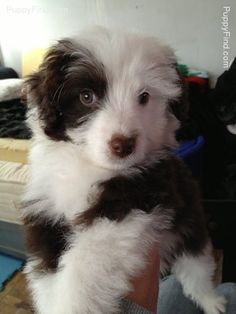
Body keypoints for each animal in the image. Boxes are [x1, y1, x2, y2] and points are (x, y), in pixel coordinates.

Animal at [22, 27, 227, 314]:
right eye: (86, 96)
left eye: (144, 97)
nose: (124, 145)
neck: (90, 166)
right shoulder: (46, 211)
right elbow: (46, 271)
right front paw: (53, 302)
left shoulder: (131, 201)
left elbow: (85, 262)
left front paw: (71, 304)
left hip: (190, 227)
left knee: (196, 270)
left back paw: (211, 301)